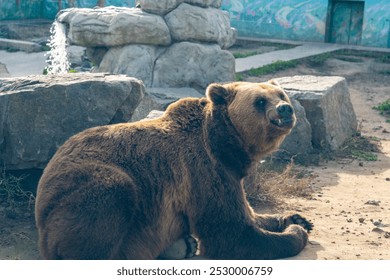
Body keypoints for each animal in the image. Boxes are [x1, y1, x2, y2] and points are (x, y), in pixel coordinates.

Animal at [35, 80, 312, 260]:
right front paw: (294, 233)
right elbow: (231, 232)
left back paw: (184, 245)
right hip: (90, 187)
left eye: (281, 94)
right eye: (260, 101)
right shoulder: (203, 171)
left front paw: (296, 219)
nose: (285, 109)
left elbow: (250, 214)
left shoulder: (228, 173)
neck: (224, 145)